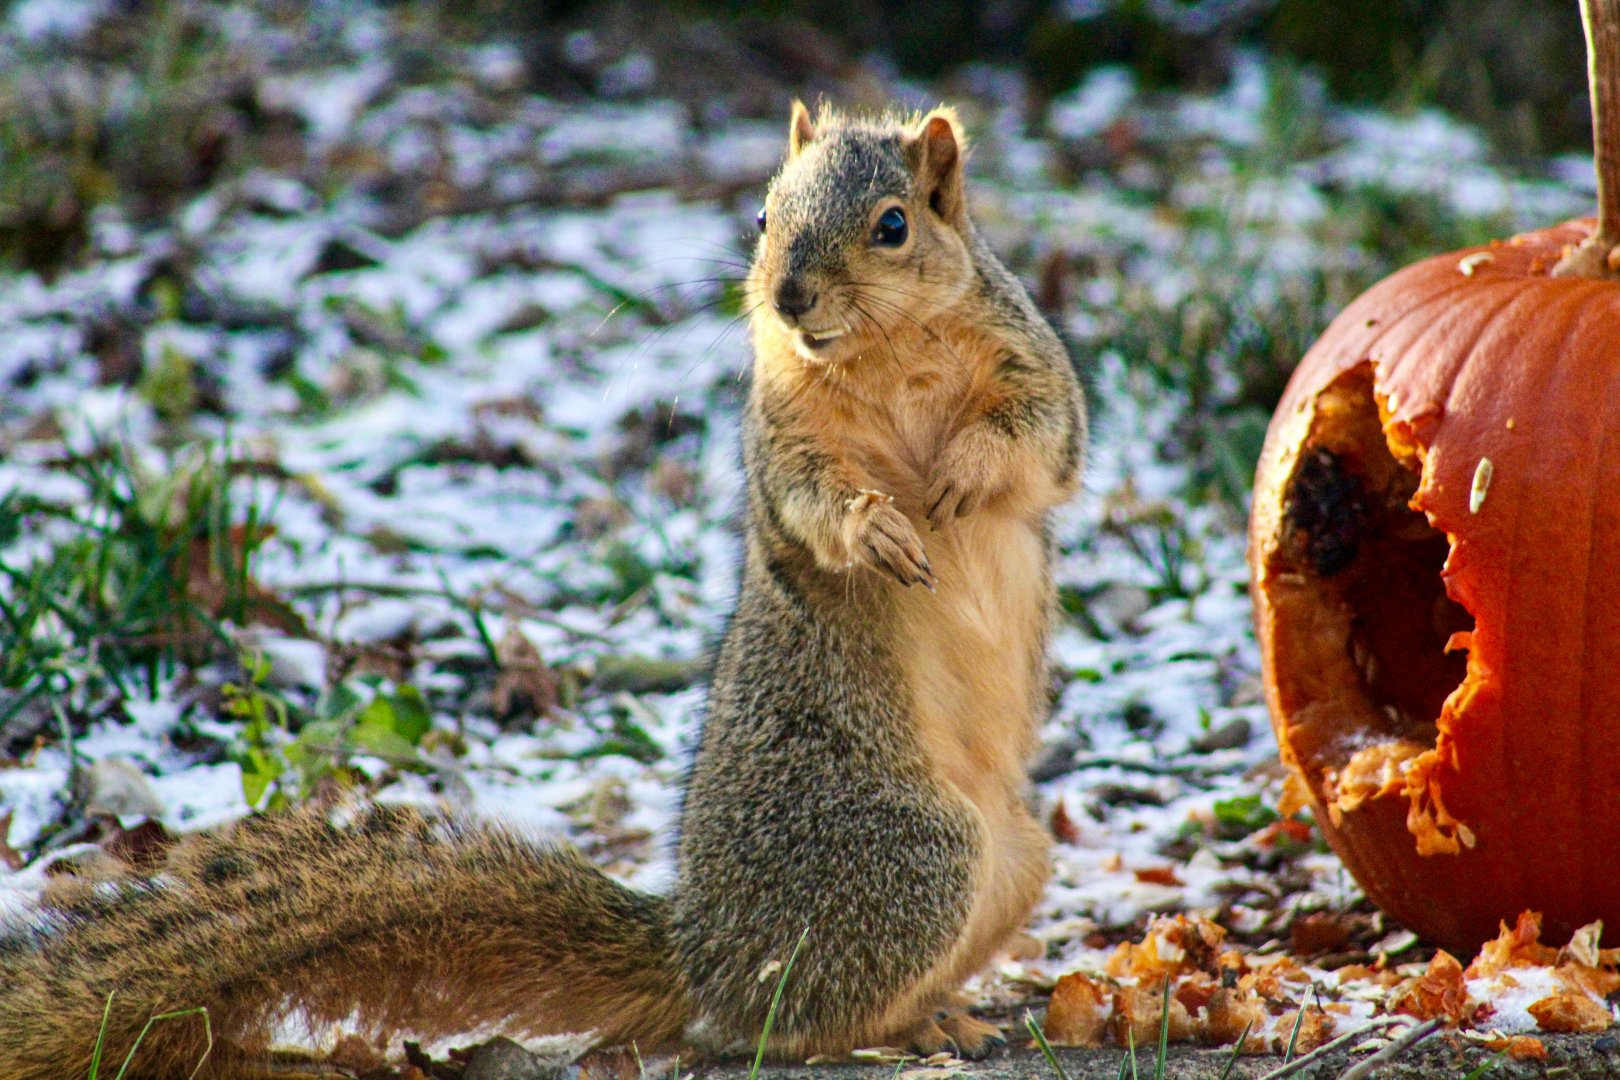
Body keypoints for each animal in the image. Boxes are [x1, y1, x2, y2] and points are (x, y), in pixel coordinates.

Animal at [0, 102, 1085, 1079]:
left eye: (893, 225)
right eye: (764, 214)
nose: (787, 297)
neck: (885, 356)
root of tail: (701, 951)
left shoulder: (1033, 370)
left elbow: (1039, 442)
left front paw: (962, 474)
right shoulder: (782, 437)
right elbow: (814, 501)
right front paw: (877, 525)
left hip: (1011, 858)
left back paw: (947, 1013)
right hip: (913, 852)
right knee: (789, 1022)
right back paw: (909, 1028)